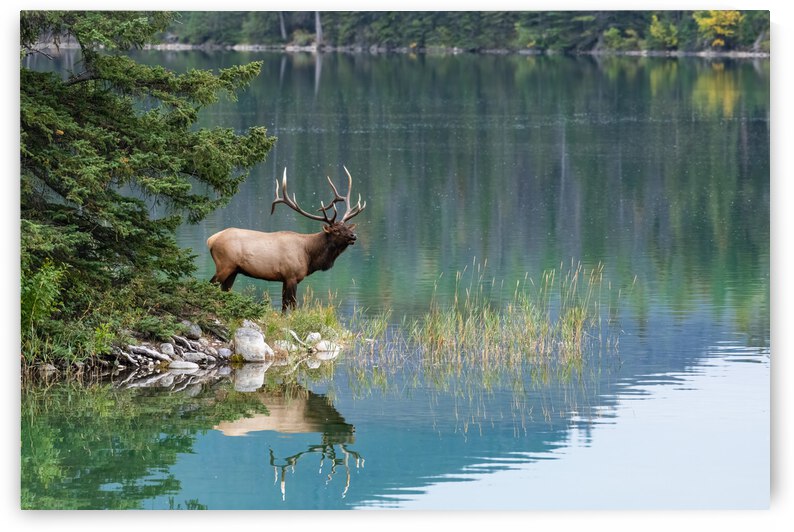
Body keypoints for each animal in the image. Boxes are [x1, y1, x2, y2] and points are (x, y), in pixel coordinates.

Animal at [206, 167, 366, 311]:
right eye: (336, 230)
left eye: (348, 228)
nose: (354, 236)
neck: (309, 255)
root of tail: (211, 240)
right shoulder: (291, 276)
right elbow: (292, 304)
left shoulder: (285, 279)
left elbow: (284, 305)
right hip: (224, 264)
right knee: (210, 284)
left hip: (233, 270)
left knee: (224, 290)